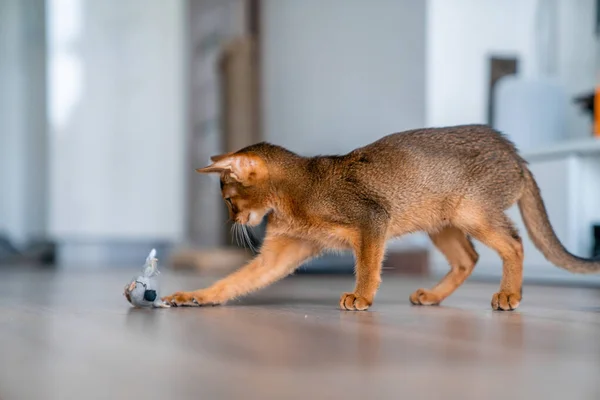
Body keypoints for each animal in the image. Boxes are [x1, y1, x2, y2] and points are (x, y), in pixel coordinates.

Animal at [163, 123, 600, 310]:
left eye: (229, 200)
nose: (233, 221)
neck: (297, 192)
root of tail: (516, 154)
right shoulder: (282, 252)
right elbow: (234, 282)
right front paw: (196, 295)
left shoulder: (373, 218)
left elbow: (368, 264)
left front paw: (361, 296)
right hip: (440, 221)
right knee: (469, 258)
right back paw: (434, 296)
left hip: (471, 211)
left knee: (514, 242)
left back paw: (509, 293)